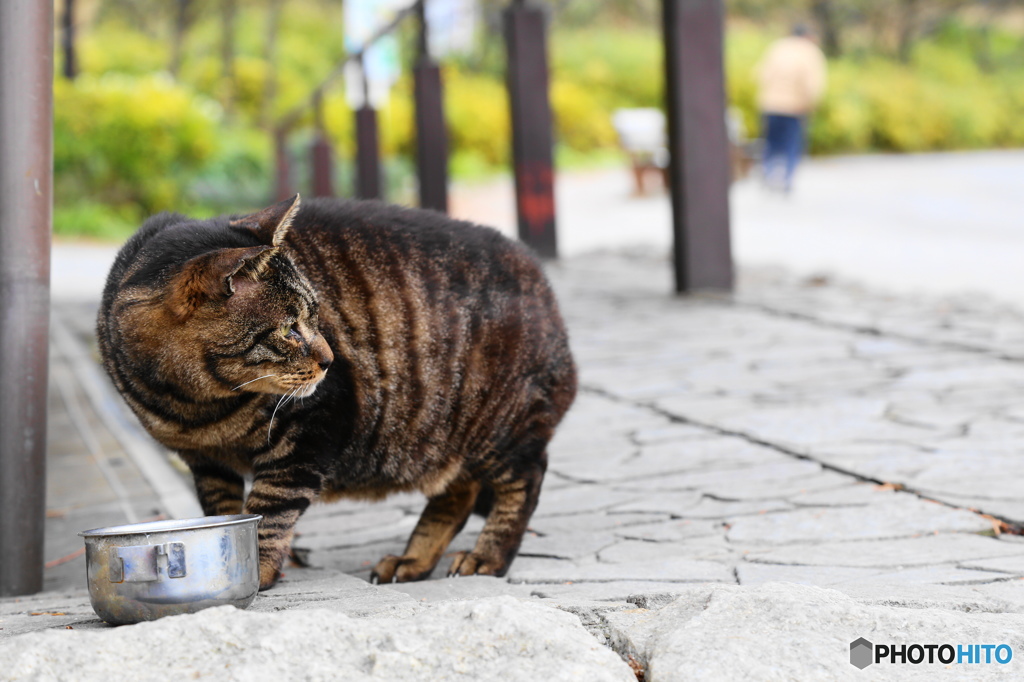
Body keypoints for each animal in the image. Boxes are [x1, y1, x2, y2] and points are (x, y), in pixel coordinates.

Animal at [96, 193, 577, 585]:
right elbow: (226, 513)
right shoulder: (204, 462)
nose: (330, 359)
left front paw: (260, 568)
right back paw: (414, 560)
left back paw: (487, 557)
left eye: (315, 315)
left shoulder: (314, 428)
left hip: (495, 423)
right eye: (290, 328)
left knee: (526, 479)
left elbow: (271, 506)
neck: (196, 406)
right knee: (459, 491)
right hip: (445, 438)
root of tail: (539, 276)